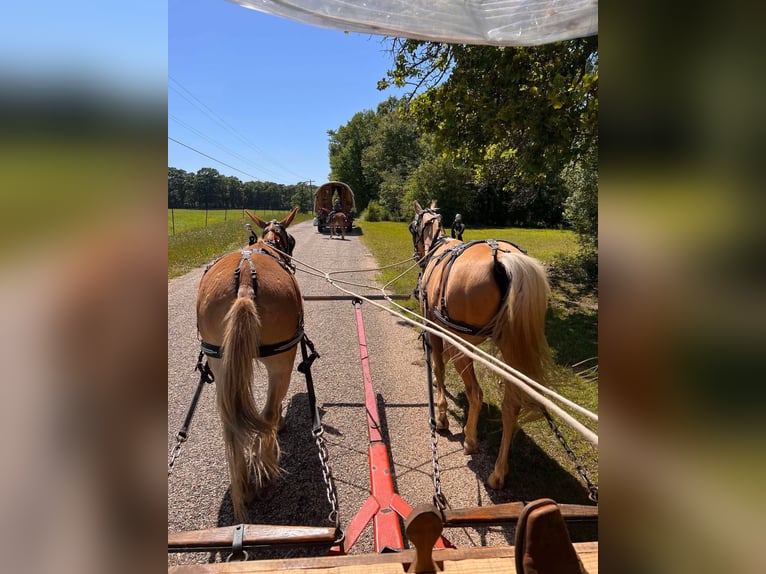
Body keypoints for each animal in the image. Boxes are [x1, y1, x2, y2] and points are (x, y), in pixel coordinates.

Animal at [196, 207, 302, 521]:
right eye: (291, 239)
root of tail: (244, 278)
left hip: (219, 363)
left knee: (230, 422)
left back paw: (243, 484)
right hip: (282, 360)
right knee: (267, 413)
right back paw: (264, 472)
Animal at [409, 201, 553, 489]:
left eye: (411, 227)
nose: (416, 255)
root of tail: (504, 258)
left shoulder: (435, 329)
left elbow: (438, 367)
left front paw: (442, 415)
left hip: (460, 344)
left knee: (476, 393)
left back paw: (470, 440)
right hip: (510, 348)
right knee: (511, 406)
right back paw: (498, 473)